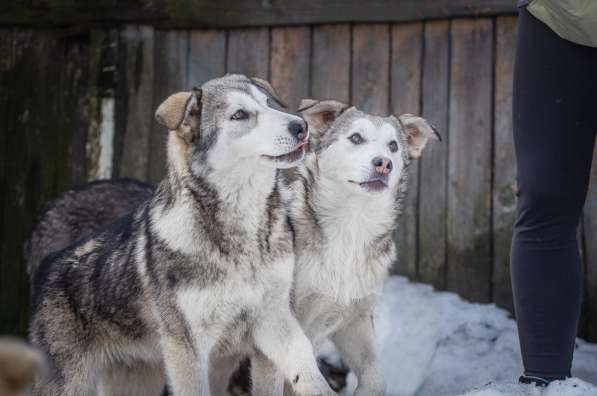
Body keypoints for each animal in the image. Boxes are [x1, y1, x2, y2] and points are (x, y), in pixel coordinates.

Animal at [29, 75, 336, 396]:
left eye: (267, 104)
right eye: (239, 115)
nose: (300, 126)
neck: (241, 238)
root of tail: (50, 263)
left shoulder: (273, 318)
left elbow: (304, 362)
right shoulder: (188, 348)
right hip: (70, 384)